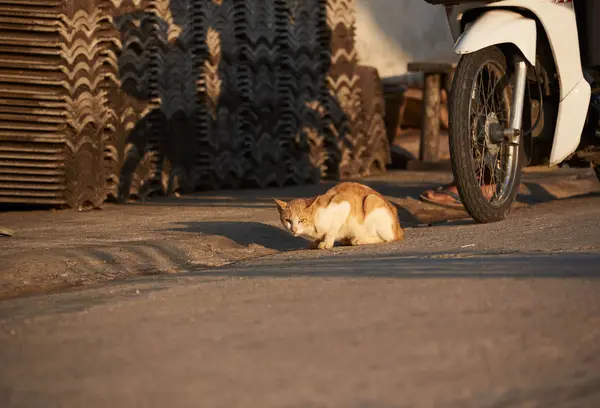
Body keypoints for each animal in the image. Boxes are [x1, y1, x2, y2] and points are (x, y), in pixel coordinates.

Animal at [274, 182, 406, 249]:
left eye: (302, 220)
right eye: (288, 220)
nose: (294, 229)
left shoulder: (344, 203)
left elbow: (331, 231)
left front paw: (326, 242)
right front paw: (317, 241)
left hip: (371, 200)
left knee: (387, 238)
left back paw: (358, 239)